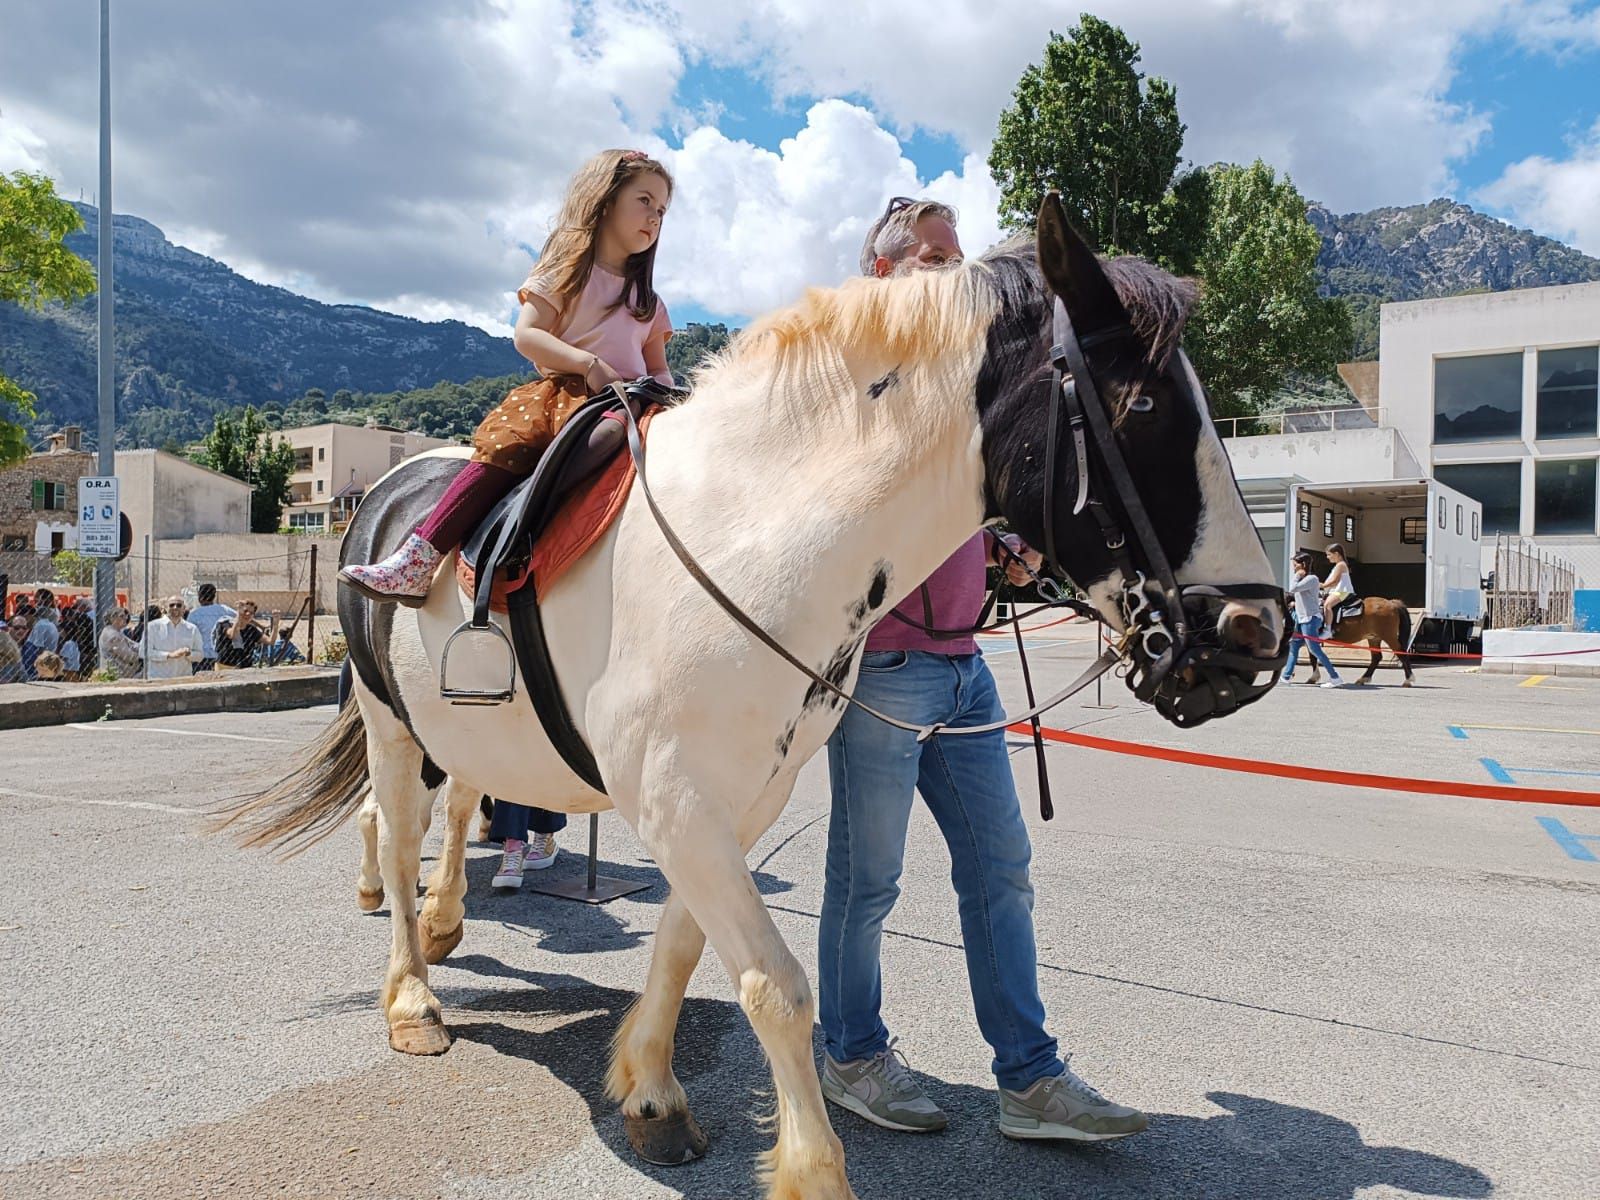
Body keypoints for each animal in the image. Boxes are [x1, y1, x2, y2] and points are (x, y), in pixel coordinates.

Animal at [225, 200, 1280, 1200]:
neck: (750, 534)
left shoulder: (738, 798)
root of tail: (389, 494)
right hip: (388, 717)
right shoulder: (675, 796)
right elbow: (778, 984)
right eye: (1140, 404)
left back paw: (446, 922)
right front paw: (813, 1170)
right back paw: (411, 994)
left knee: (458, 806)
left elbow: (687, 946)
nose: (1254, 635)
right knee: (398, 828)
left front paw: (650, 1088)